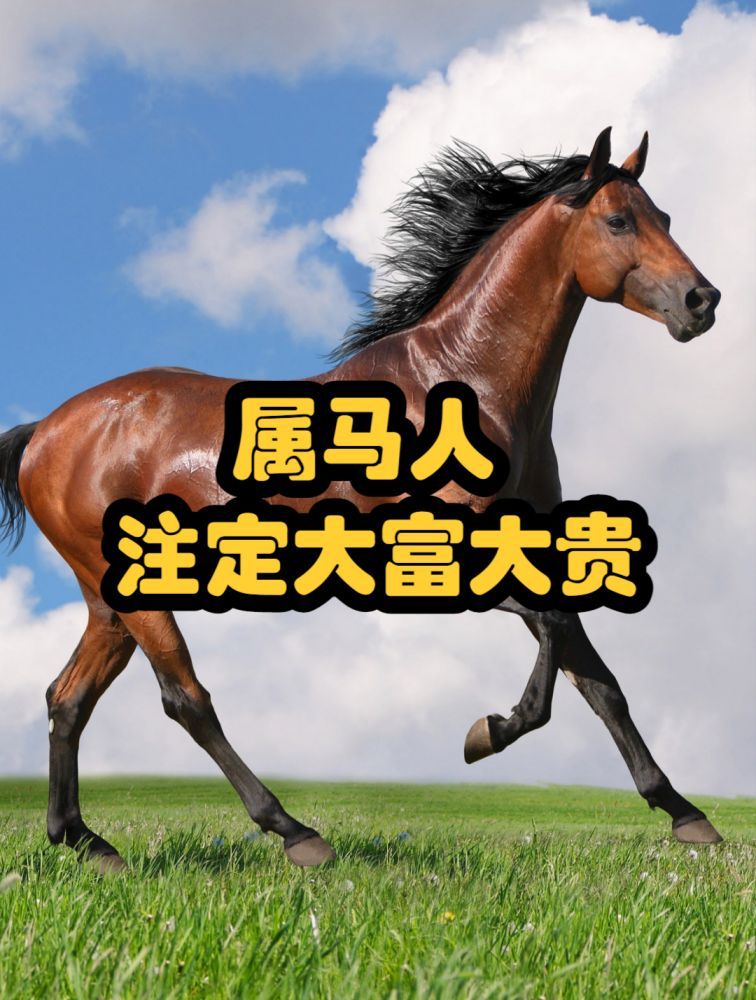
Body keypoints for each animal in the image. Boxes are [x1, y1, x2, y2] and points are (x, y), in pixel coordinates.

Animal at [0, 127, 723, 871]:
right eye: (618, 220)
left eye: (664, 217)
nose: (703, 300)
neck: (460, 388)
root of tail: (43, 432)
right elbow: (556, 643)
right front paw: (486, 733)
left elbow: (599, 679)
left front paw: (686, 815)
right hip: (138, 599)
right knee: (185, 700)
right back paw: (295, 833)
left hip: (109, 601)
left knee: (68, 698)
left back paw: (86, 841)